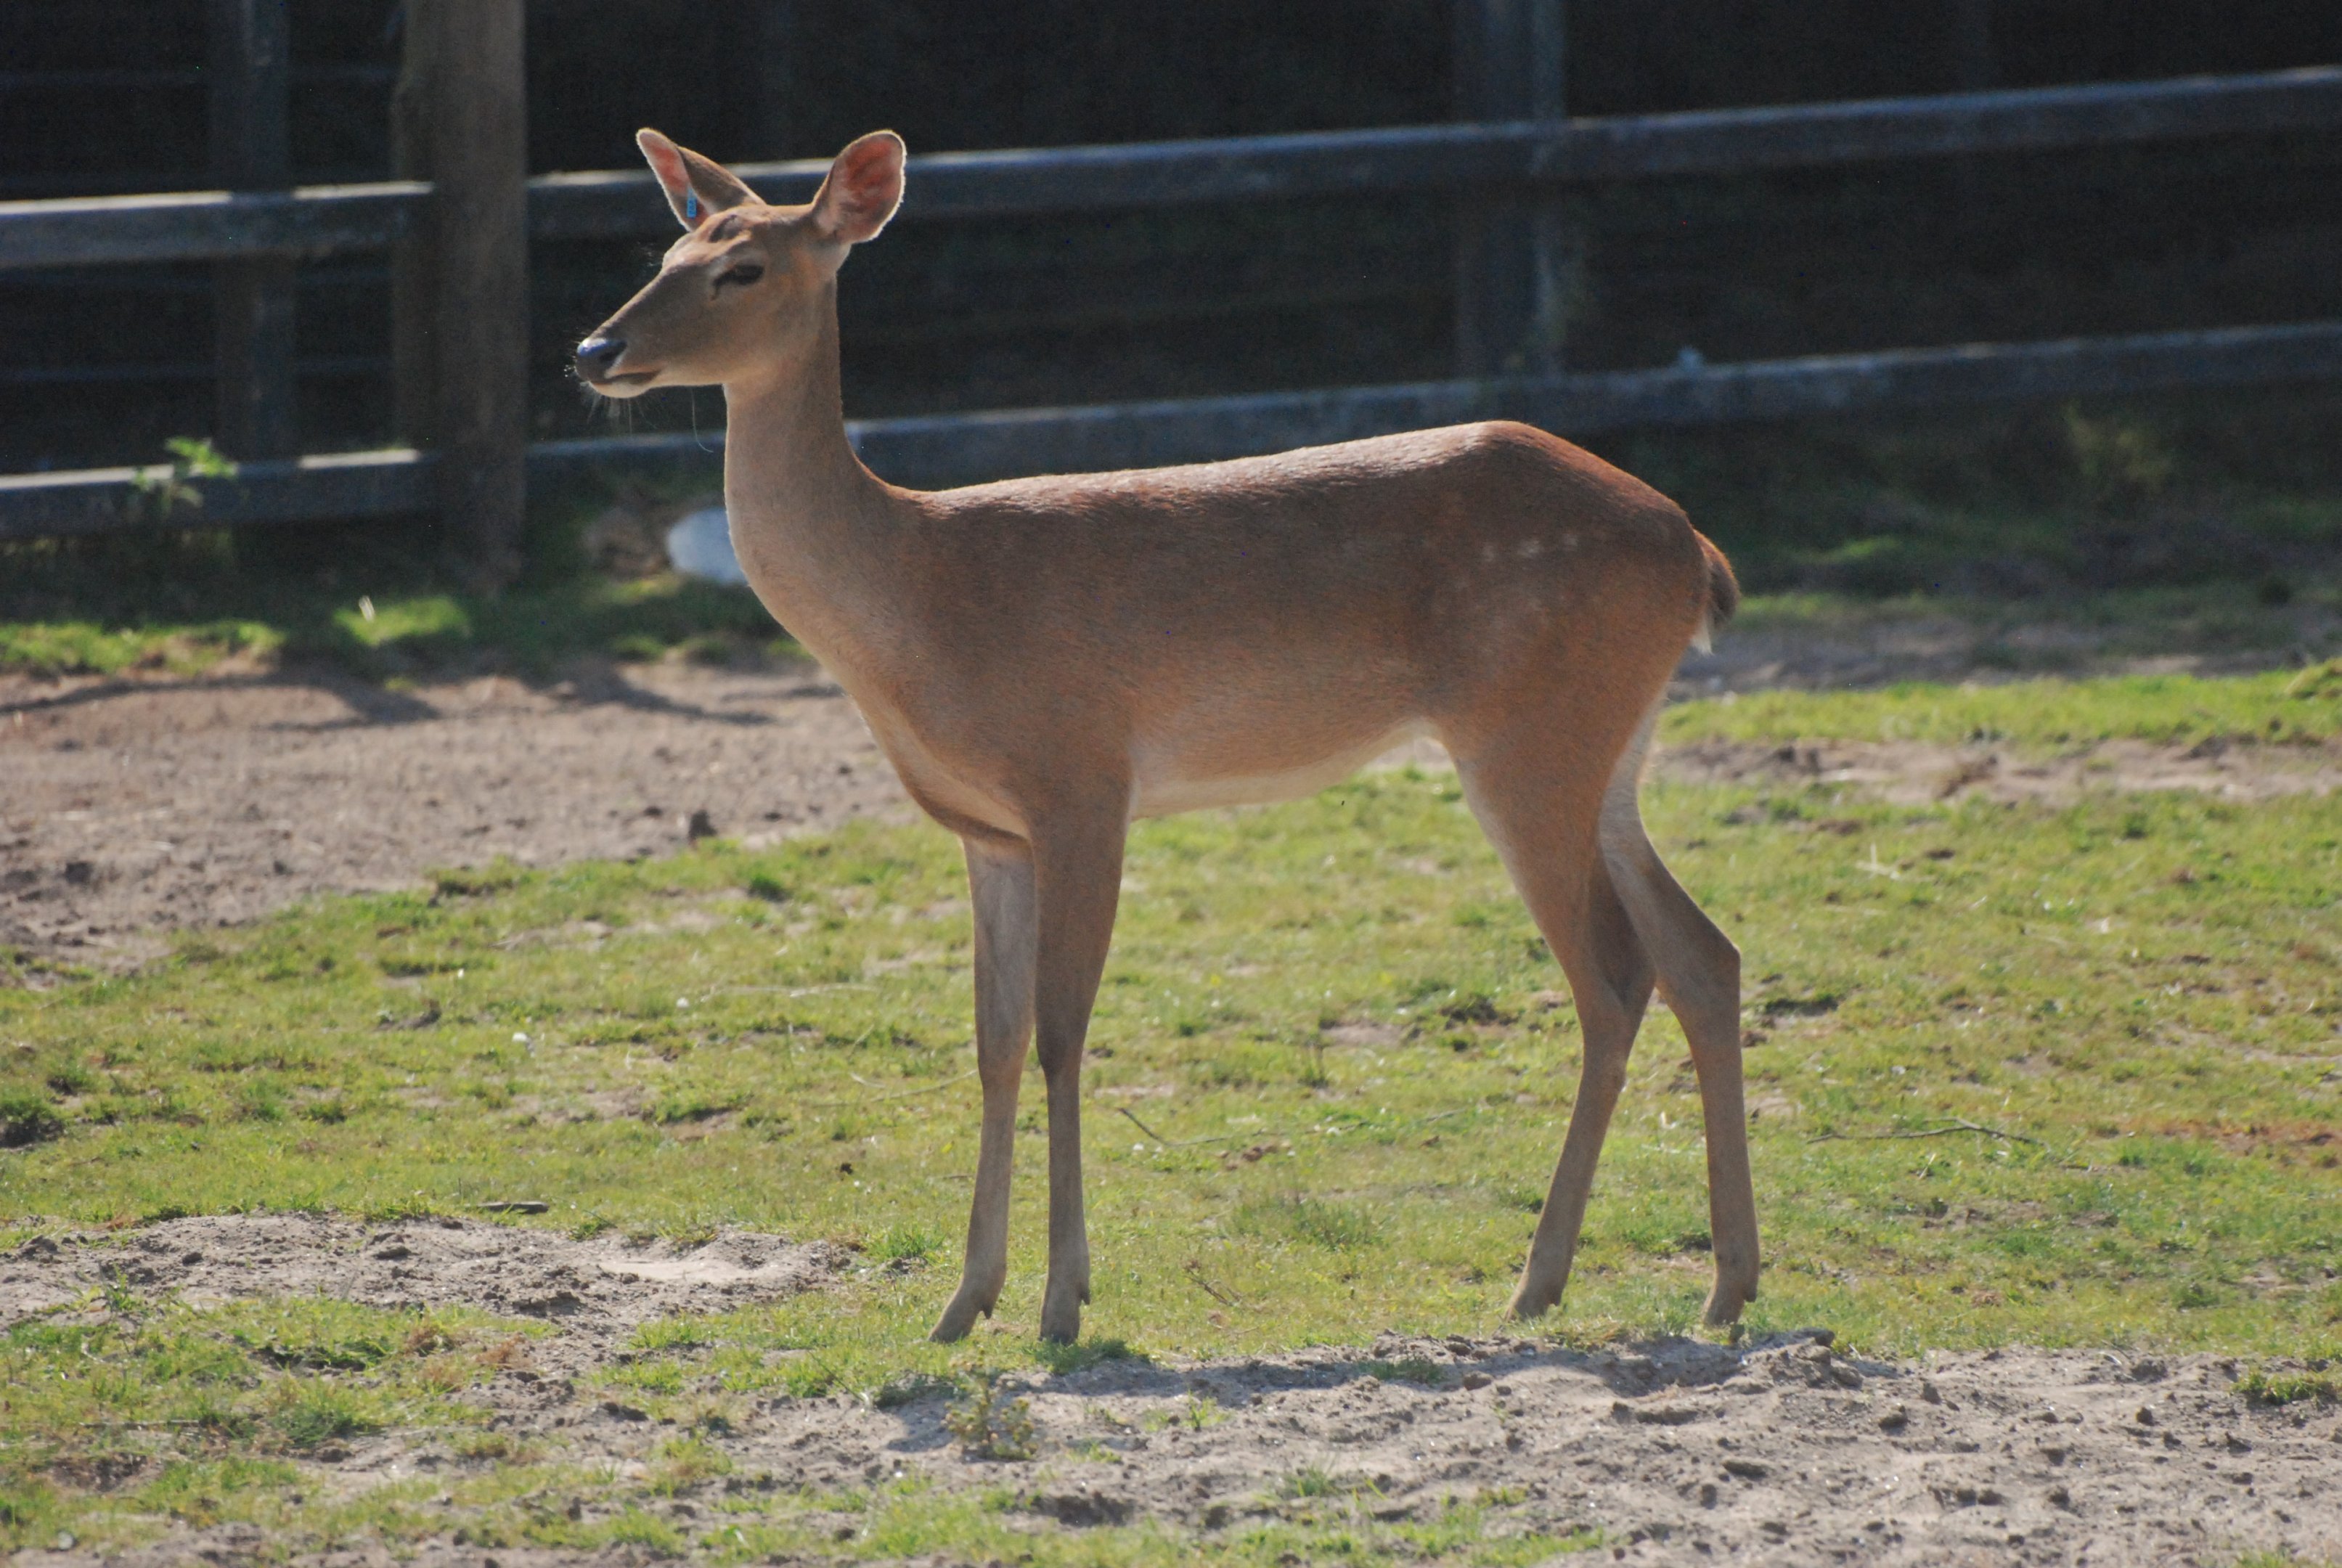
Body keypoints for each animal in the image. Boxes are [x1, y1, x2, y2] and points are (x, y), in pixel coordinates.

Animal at [575, 128, 1759, 1345]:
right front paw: (962, 1302)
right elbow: (993, 1042)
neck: (915, 603)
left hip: (1524, 733)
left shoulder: (1081, 778)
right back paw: (1723, 1283)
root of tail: (1697, 553)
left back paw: (1540, 1280)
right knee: (1701, 953)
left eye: (743, 267)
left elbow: (1061, 1030)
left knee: (1613, 977)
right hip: (1605, 746)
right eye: (666, 251)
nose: (593, 348)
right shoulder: (987, 830)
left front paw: (1060, 1302)